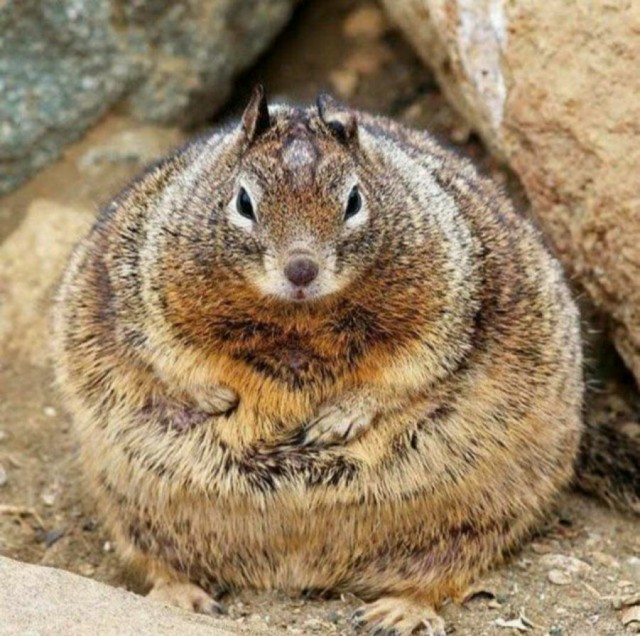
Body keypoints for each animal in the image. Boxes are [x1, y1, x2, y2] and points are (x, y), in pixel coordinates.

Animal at [53, 86, 637, 635]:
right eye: (243, 202)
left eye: (354, 199)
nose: (301, 269)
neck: (297, 321)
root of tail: (296, 572)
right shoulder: (139, 269)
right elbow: (164, 347)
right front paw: (214, 397)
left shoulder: (451, 288)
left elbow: (412, 364)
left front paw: (339, 419)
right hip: (129, 504)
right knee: (158, 561)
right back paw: (183, 596)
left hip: (483, 512)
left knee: (444, 571)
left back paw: (398, 611)